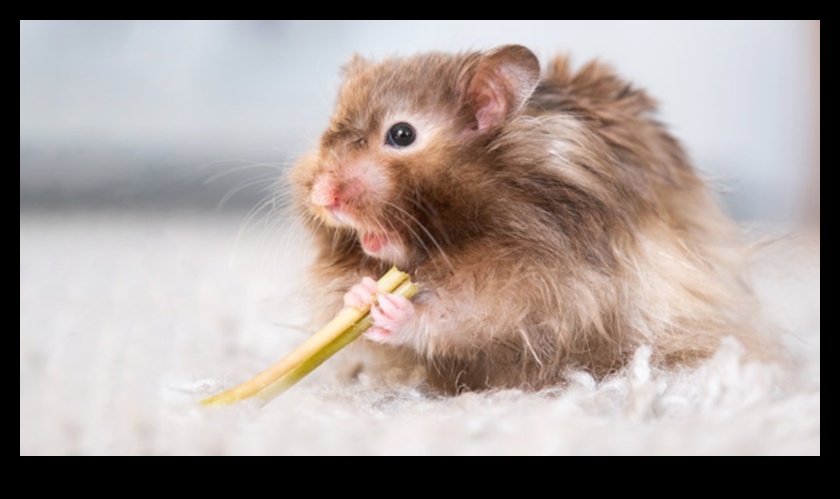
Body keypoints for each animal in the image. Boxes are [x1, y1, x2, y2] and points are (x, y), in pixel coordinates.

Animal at [289, 45, 763, 393]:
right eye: (329, 129)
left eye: (402, 134)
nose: (321, 195)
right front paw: (360, 294)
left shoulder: (548, 284)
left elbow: (467, 315)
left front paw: (390, 308)